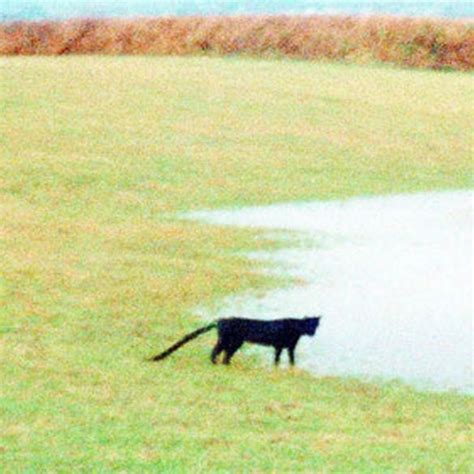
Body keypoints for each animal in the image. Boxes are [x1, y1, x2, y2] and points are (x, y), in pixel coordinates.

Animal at [148, 318, 322, 366]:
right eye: (309, 325)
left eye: (315, 325)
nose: (313, 332)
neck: (296, 328)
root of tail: (220, 320)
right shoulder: (283, 346)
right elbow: (284, 359)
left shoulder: (285, 347)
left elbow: (284, 359)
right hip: (227, 340)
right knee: (216, 350)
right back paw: (215, 362)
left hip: (235, 342)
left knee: (225, 353)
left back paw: (225, 364)